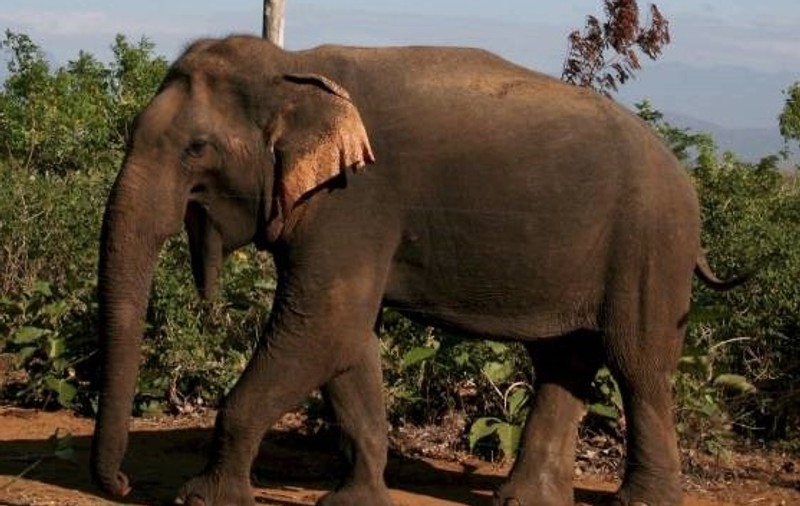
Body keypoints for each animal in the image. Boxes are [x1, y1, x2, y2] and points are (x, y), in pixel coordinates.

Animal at [90, 35, 744, 506]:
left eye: (196, 149)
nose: (122, 484)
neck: (293, 67)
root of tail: (681, 172)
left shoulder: (355, 200)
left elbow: (322, 326)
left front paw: (200, 499)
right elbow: (347, 339)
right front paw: (355, 502)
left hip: (651, 244)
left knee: (637, 364)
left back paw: (641, 502)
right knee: (565, 360)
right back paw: (524, 500)